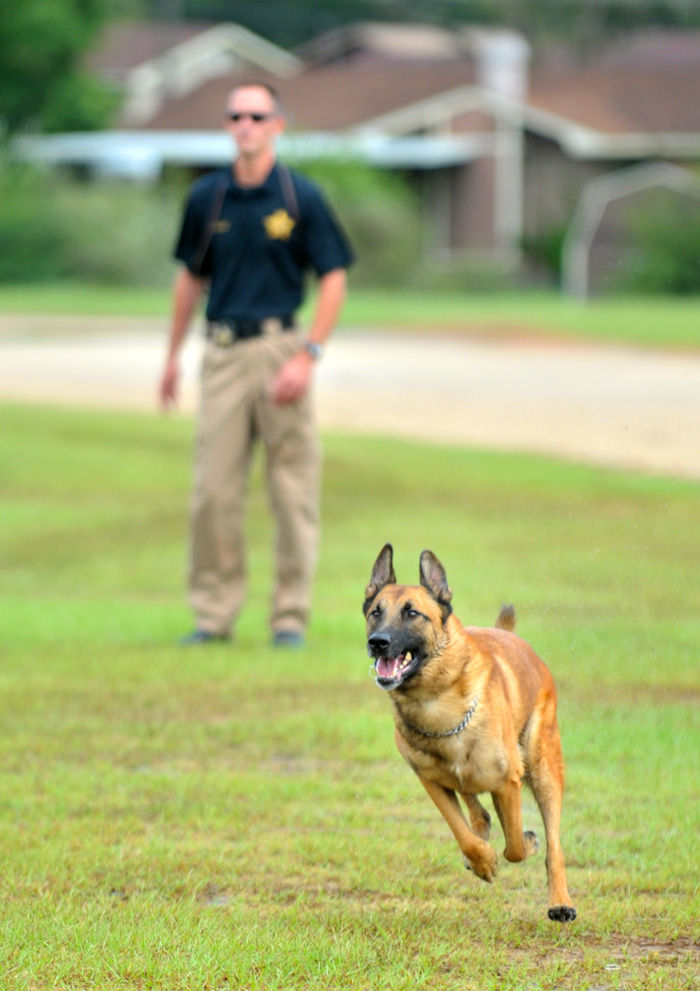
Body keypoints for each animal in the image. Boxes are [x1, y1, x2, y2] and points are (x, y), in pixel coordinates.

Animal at [364, 544, 576, 924]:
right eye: (375, 612)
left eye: (412, 613)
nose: (377, 642)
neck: (435, 701)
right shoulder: (432, 781)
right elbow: (462, 830)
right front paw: (481, 860)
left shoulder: (508, 781)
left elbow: (516, 847)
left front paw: (521, 844)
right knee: (478, 811)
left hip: (543, 768)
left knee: (553, 843)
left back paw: (560, 900)